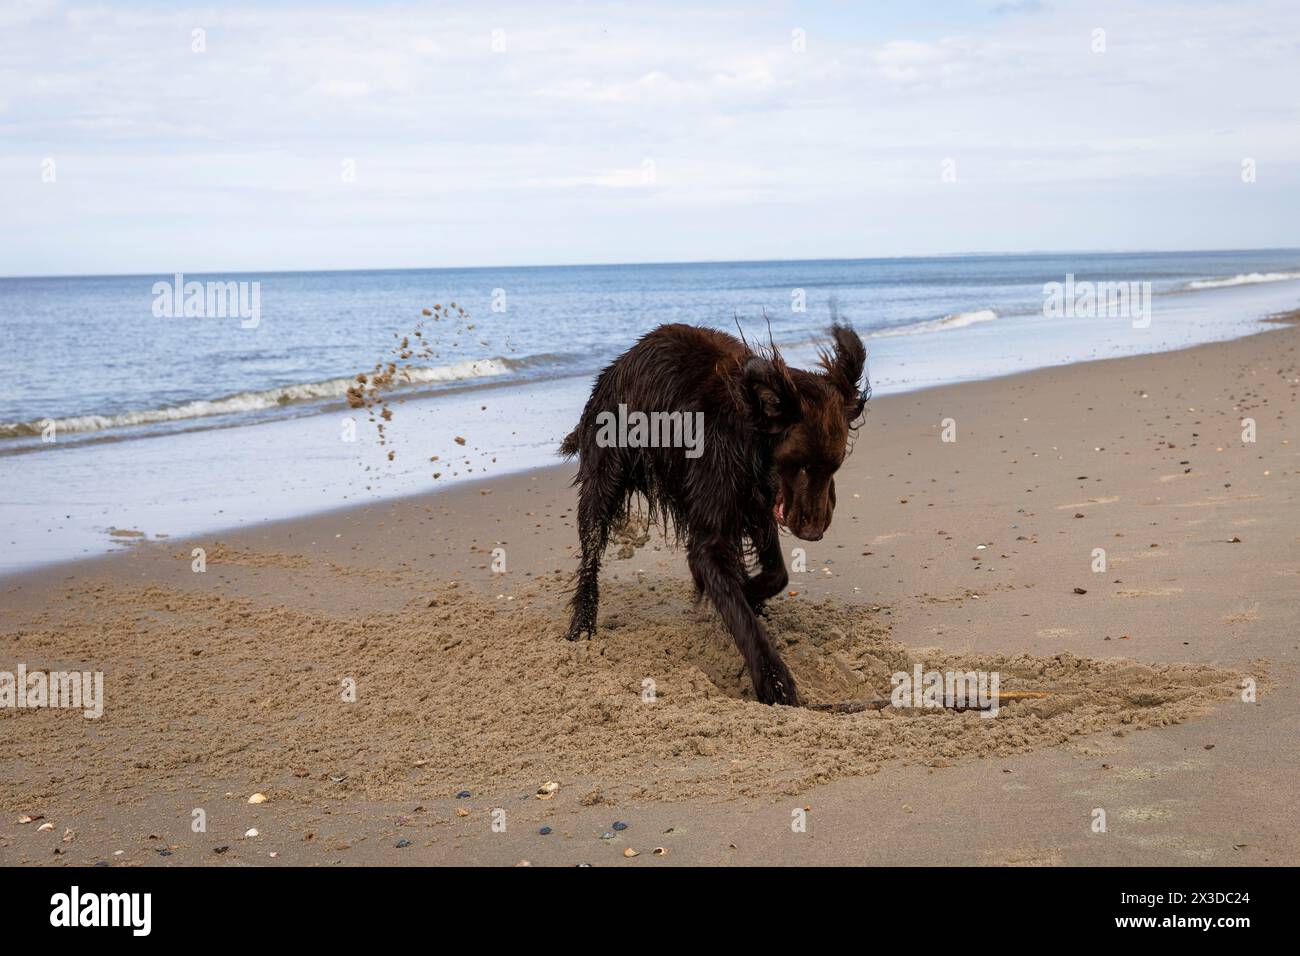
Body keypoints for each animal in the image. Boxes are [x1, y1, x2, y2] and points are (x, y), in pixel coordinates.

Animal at [556, 325, 863, 707]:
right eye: (802, 466)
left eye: (833, 467)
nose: (814, 533)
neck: (746, 436)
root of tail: (615, 367)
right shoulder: (713, 531)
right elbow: (739, 613)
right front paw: (775, 682)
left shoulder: (755, 508)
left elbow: (776, 574)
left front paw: (749, 592)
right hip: (605, 480)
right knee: (590, 552)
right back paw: (582, 624)